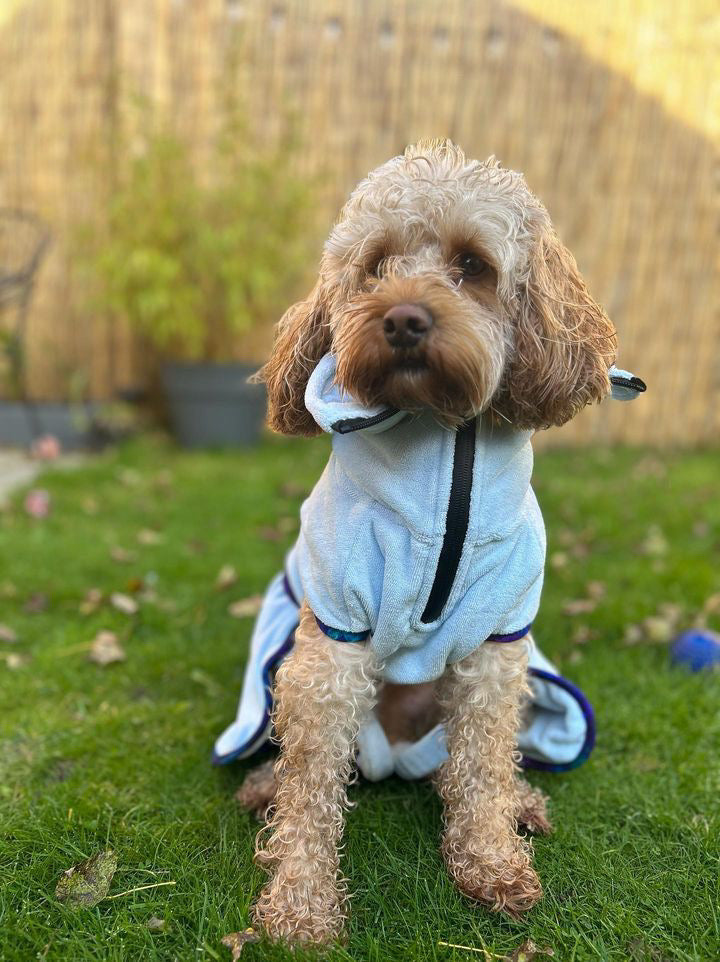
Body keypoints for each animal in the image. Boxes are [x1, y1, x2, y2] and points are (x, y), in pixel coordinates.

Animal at [239, 139, 620, 940]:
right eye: (377, 263)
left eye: (472, 265)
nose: (405, 318)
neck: (445, 445)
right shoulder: (334, 640)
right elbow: (311, 789)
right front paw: (299, 903)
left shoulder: (497, 641)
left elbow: (481, 766)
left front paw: (491, 862)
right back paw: (261, 785)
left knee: (461, 766)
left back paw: (520, 805)